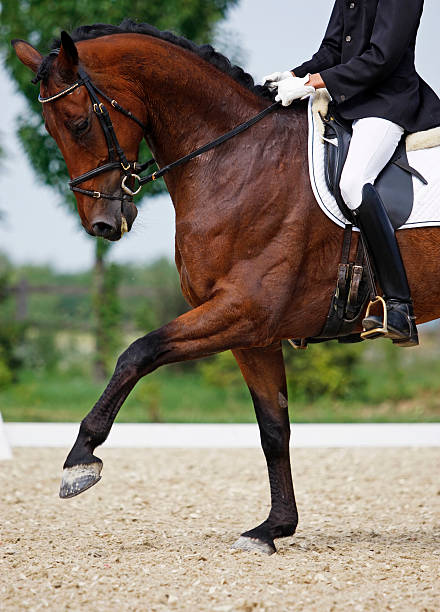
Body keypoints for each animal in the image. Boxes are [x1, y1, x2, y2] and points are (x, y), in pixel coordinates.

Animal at [11, 20, 440, 556]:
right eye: (51, 129)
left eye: (78, 123)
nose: (103, 224)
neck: (236, 159)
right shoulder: (252, 334)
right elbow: (273, 429)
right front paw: (273, 528)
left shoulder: (244, 311)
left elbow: (136, 353)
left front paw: (80, 460)